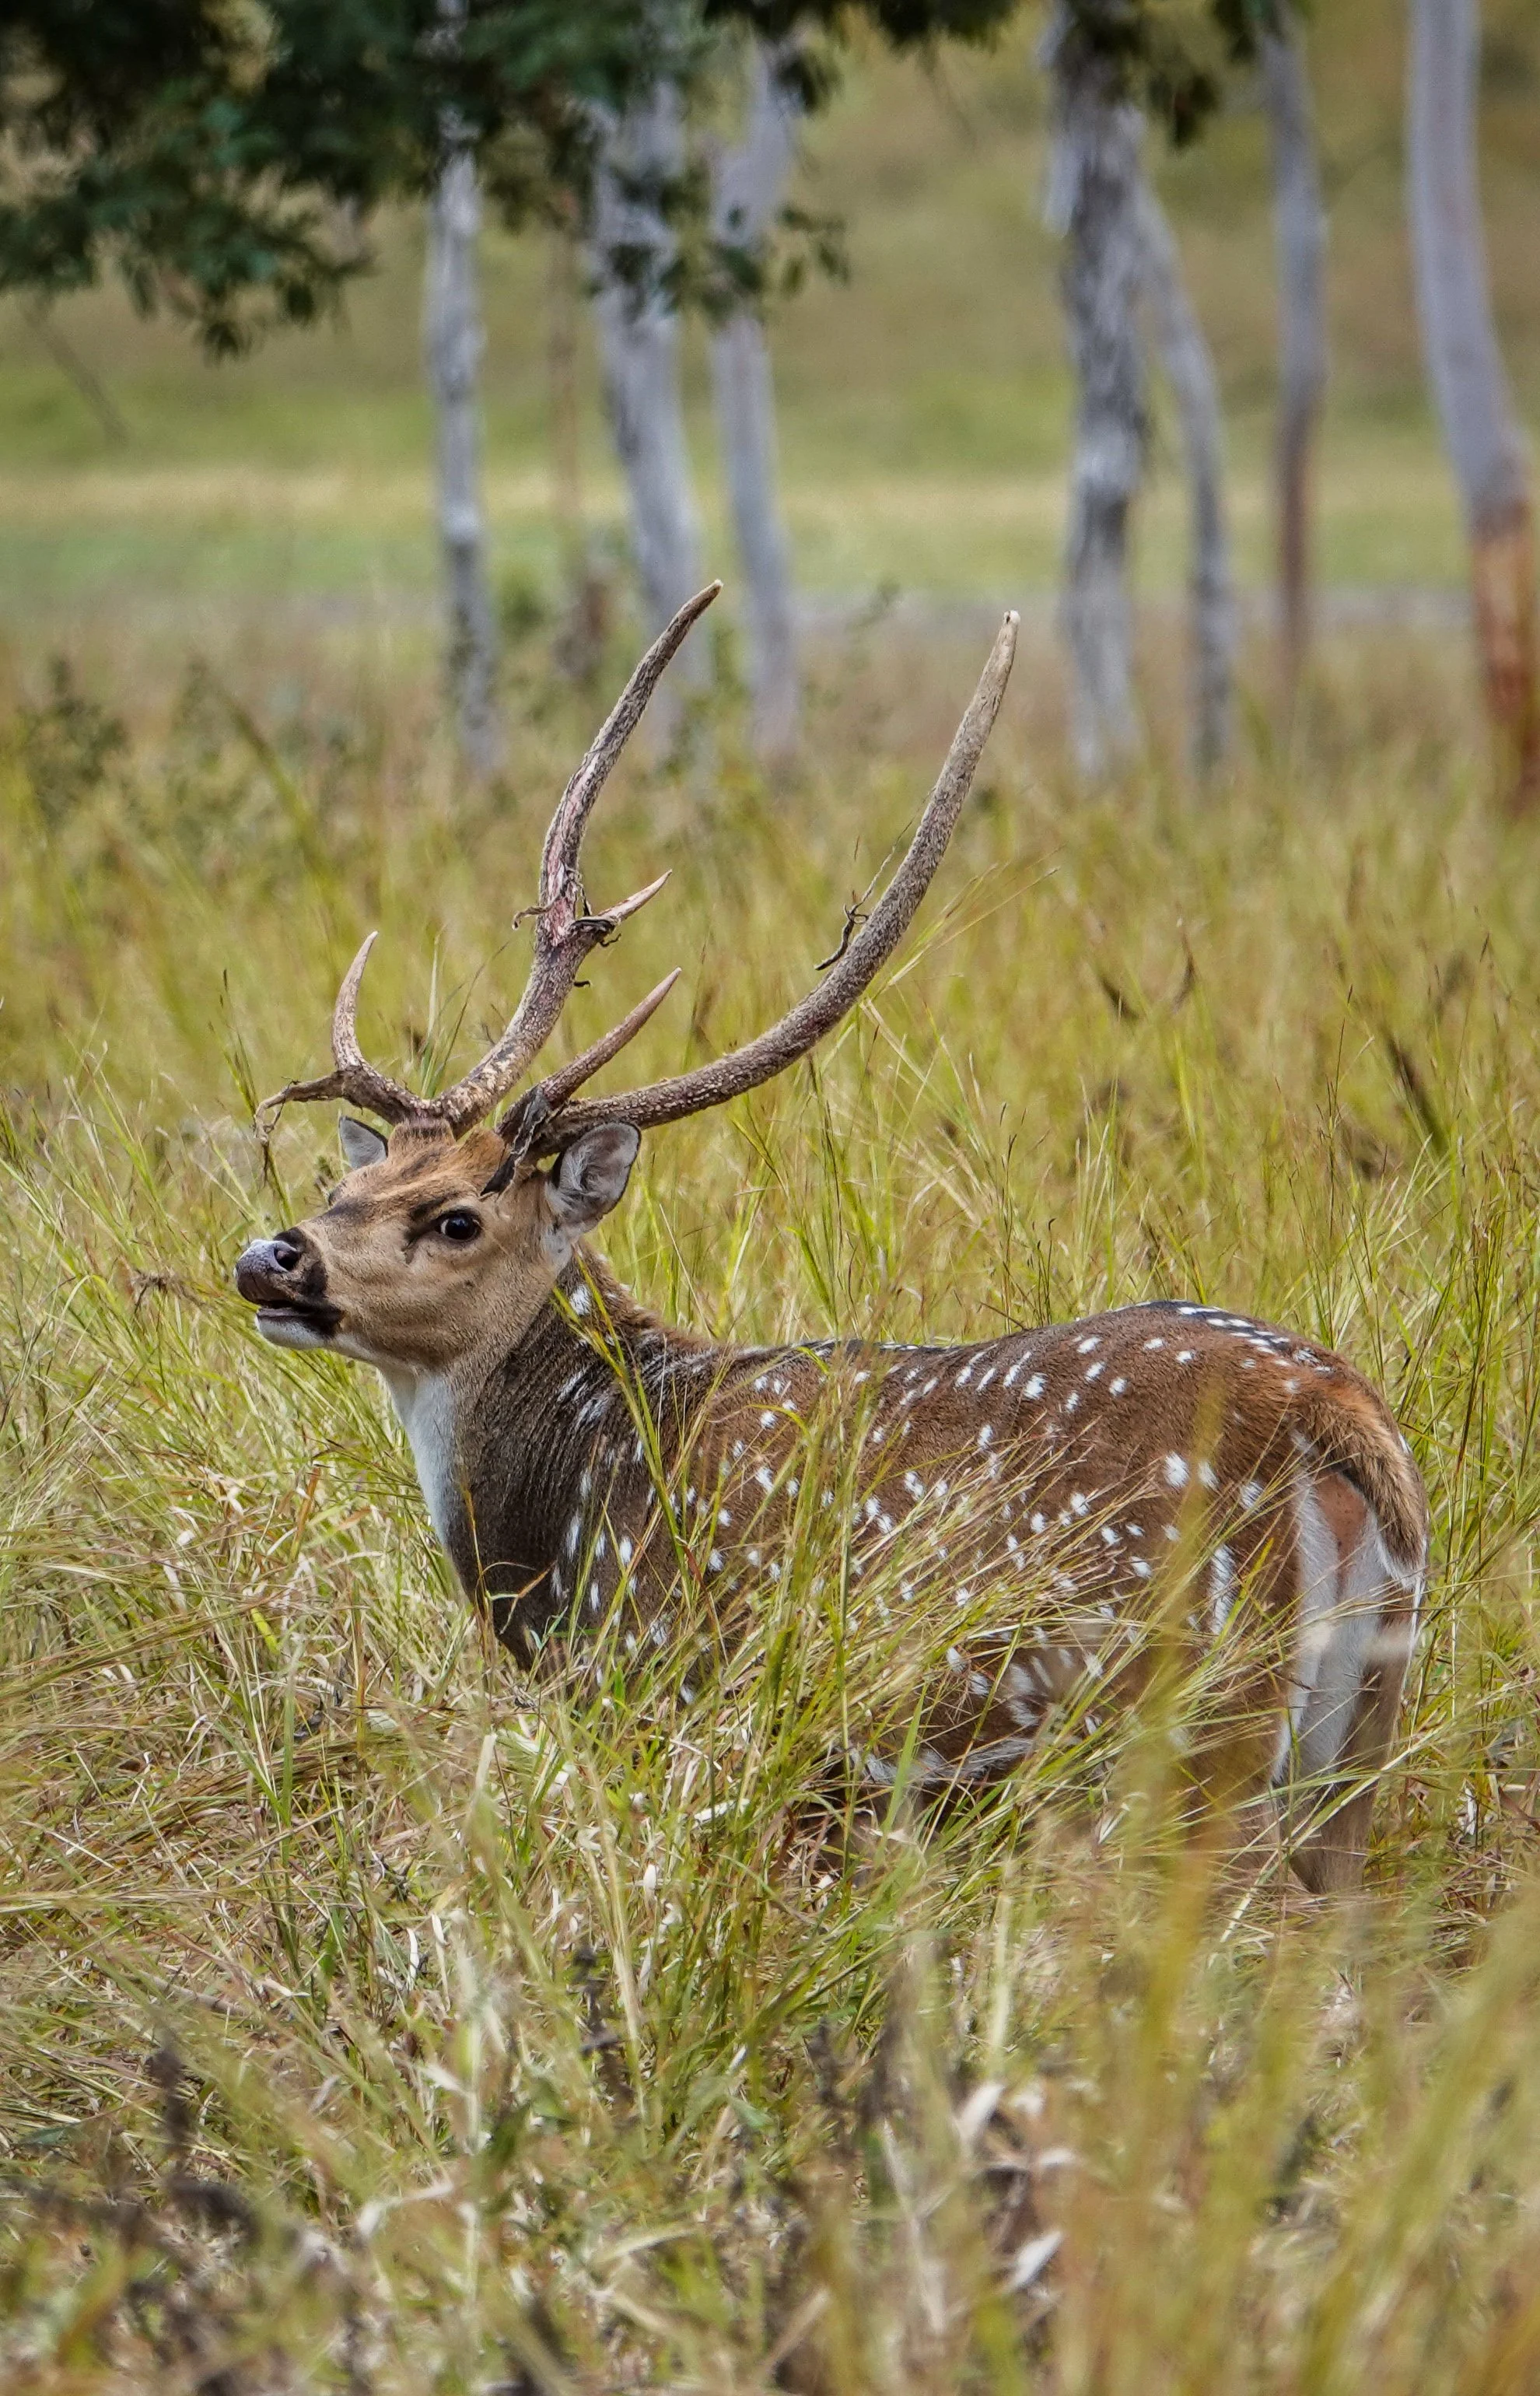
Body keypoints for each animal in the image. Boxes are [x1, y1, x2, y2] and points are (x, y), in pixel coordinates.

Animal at [235, 584, 1428, 1893]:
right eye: (355, 1177)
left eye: (456, 1216)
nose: (274, 1257)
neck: (564, 1524)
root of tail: (1336, 1420)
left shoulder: (689, 1711)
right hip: (1357, 1738)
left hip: (1180, 1726)